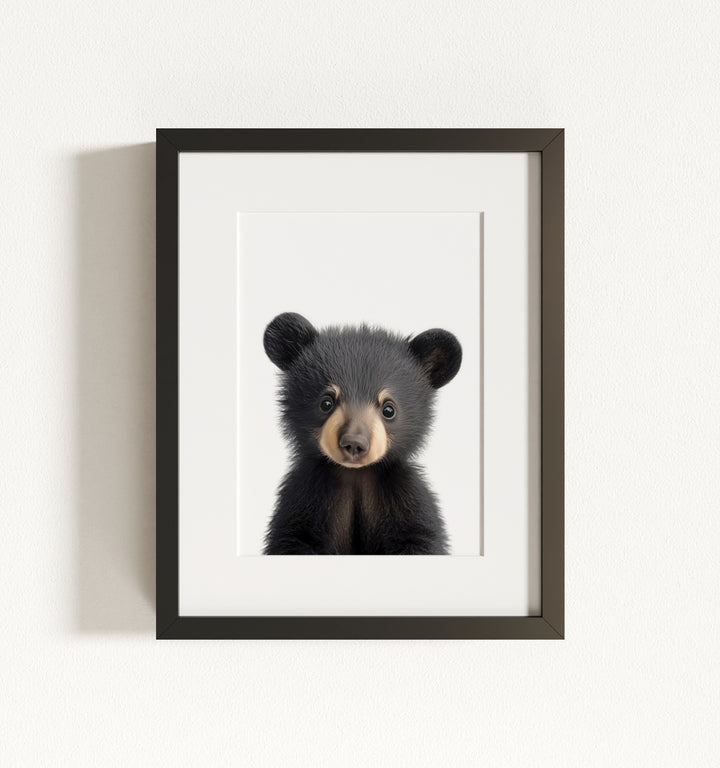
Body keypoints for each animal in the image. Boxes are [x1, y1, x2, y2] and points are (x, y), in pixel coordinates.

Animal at [262, 312, 462, 555]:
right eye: (326, 403)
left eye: (389, 409)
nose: (354, 443)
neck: (355, 475)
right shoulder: (304, 497)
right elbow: (293, 537)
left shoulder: (405, 496)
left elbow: (420, 536)